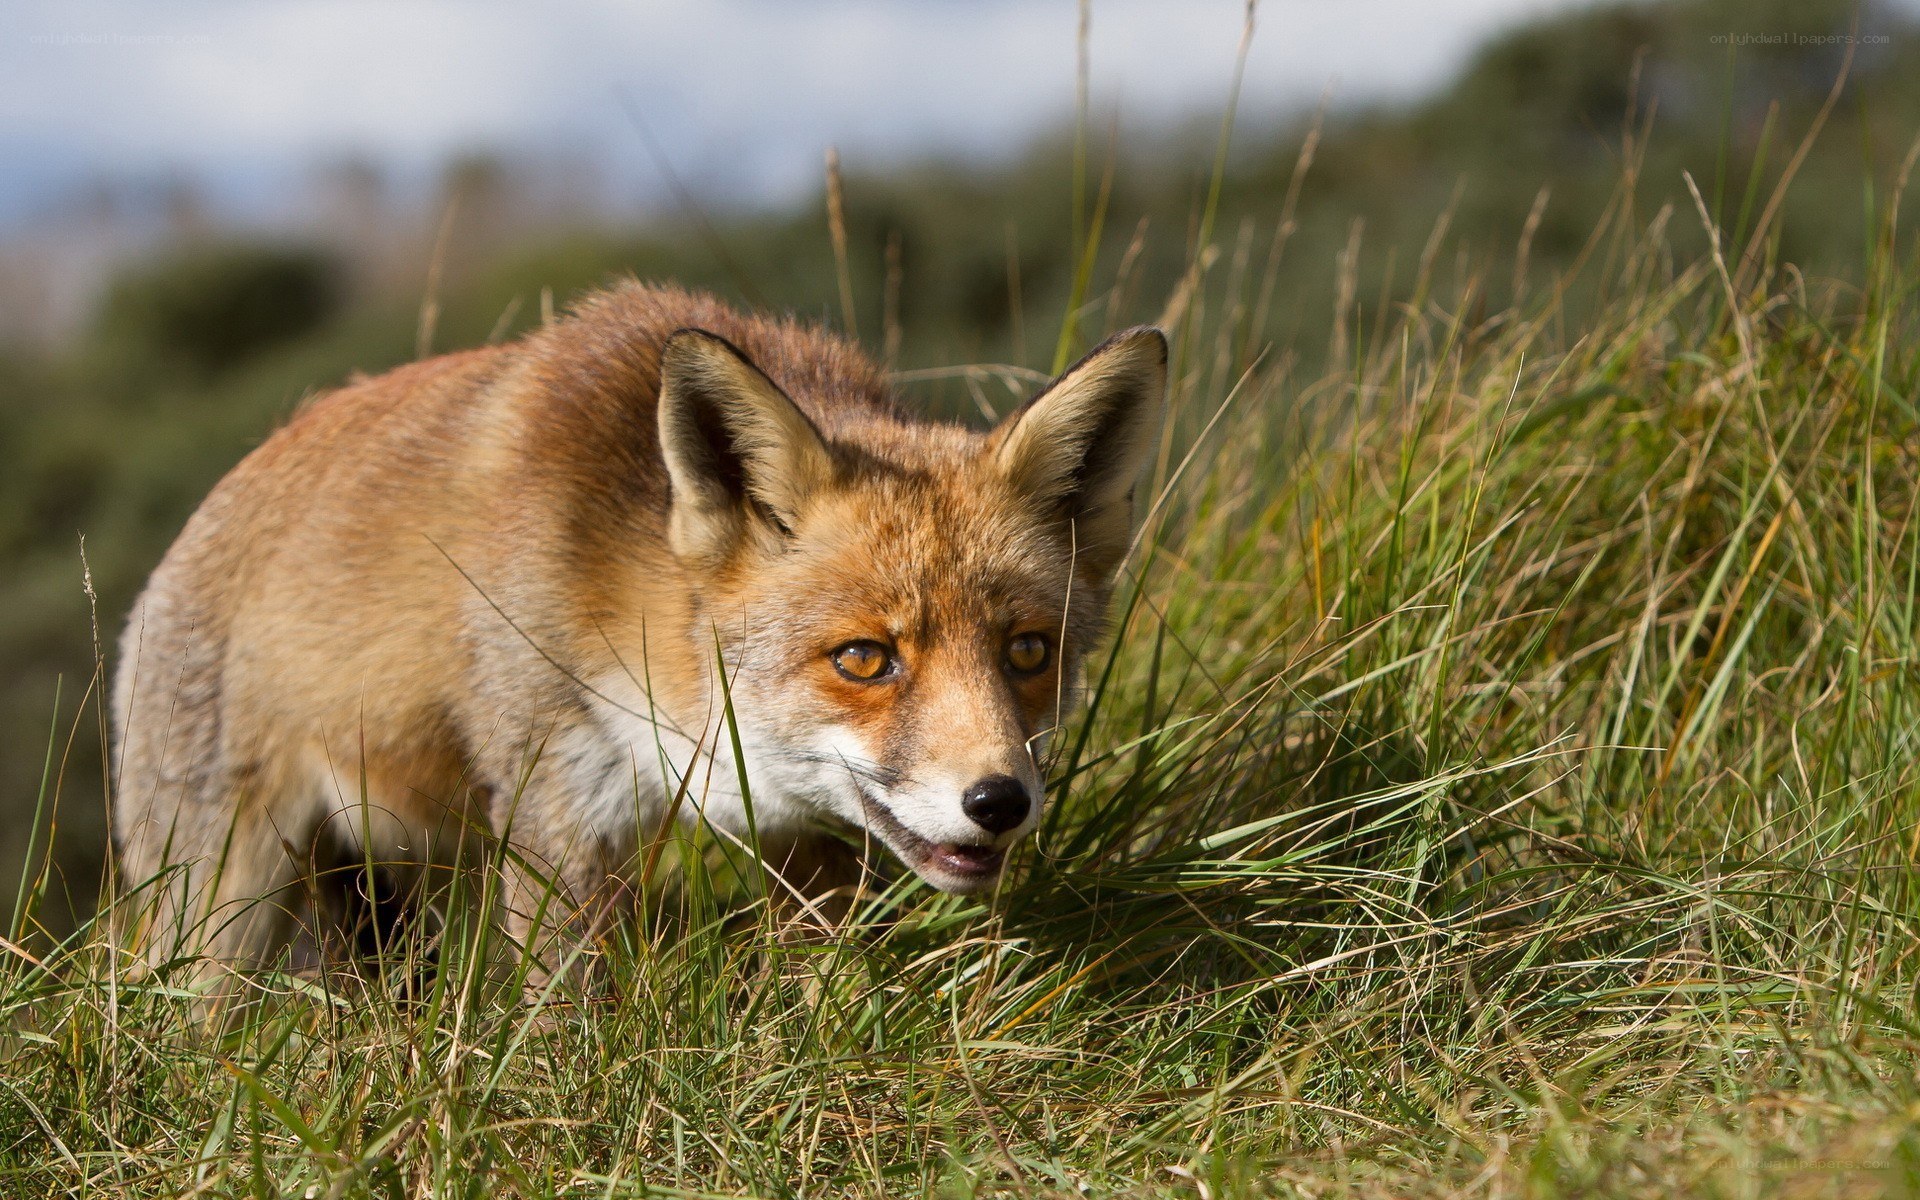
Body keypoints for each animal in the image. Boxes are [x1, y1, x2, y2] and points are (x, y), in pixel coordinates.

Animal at [111, 281, 1166, 987]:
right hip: (223, 905)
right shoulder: (553, 801)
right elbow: (565, 1008)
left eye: (1027, 652)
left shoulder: (802, 840)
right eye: (865, 658)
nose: (1000, 801)